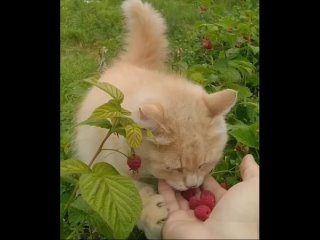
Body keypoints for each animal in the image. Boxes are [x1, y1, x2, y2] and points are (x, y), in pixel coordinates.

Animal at [74, 0, 236, 238]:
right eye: (175, 169)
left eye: (203, 165)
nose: (191, 186)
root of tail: (131, 63)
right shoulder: (109, 169)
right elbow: (134, 196)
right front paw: (153, 215)